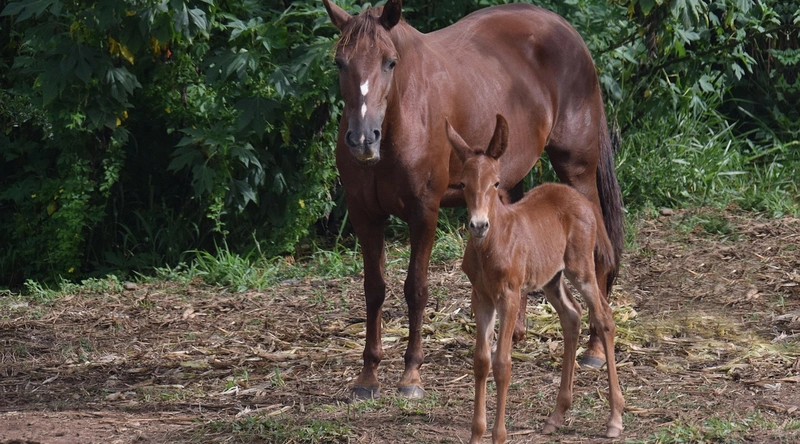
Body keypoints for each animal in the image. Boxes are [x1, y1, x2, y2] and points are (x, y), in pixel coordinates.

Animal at [322, 0, 624, 400]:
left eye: (390, 62)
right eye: (340, 62)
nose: (362, 139)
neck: (403, 114)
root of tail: (565, 30)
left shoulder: (424, 212)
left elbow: (415, 289)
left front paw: (411, 374)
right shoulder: (364, 215)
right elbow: (374, 289)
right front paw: (368, 375)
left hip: (577, 169)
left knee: (599, 249)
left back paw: (594, 349)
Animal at [448, 115, 624, 442]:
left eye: (496, 182)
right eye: (463, 183)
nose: (478, 225)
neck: (492, 244)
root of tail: (583, 201)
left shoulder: (509, 295)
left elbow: (502, 364)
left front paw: (499, 435)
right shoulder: (481, 297)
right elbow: (481, 361)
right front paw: (477, 434)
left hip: (580, 268)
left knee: (603, 316)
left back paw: (615, 418)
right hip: (551, 277)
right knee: (572, 315)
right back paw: (557, 415)